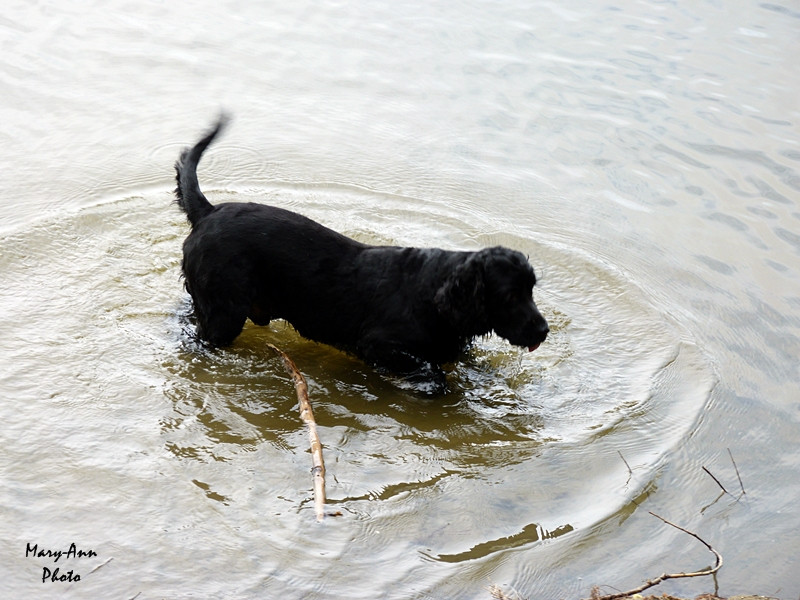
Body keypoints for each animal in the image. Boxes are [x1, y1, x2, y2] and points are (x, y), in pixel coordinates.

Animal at [173, 116, 552, 390]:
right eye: (509, 295)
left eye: (532, 290)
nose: (543, 330)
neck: (434, 296)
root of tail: (208, 212)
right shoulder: (376, 344)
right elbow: (431, 371)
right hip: (224, 315)